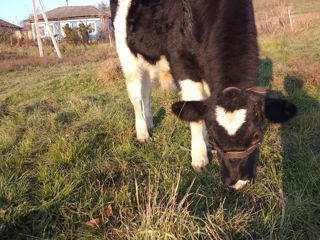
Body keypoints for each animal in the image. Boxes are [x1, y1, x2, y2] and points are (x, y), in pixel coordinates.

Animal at [110, 0, 298, 191]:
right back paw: (142, 132)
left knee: (147, 92)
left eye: (257, 138)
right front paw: (199, 158)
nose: (237, 184)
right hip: (127, 57)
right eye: (215, 140)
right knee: (136, 96)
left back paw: (149, 123)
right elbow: (195, 114)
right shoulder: (183, 65)